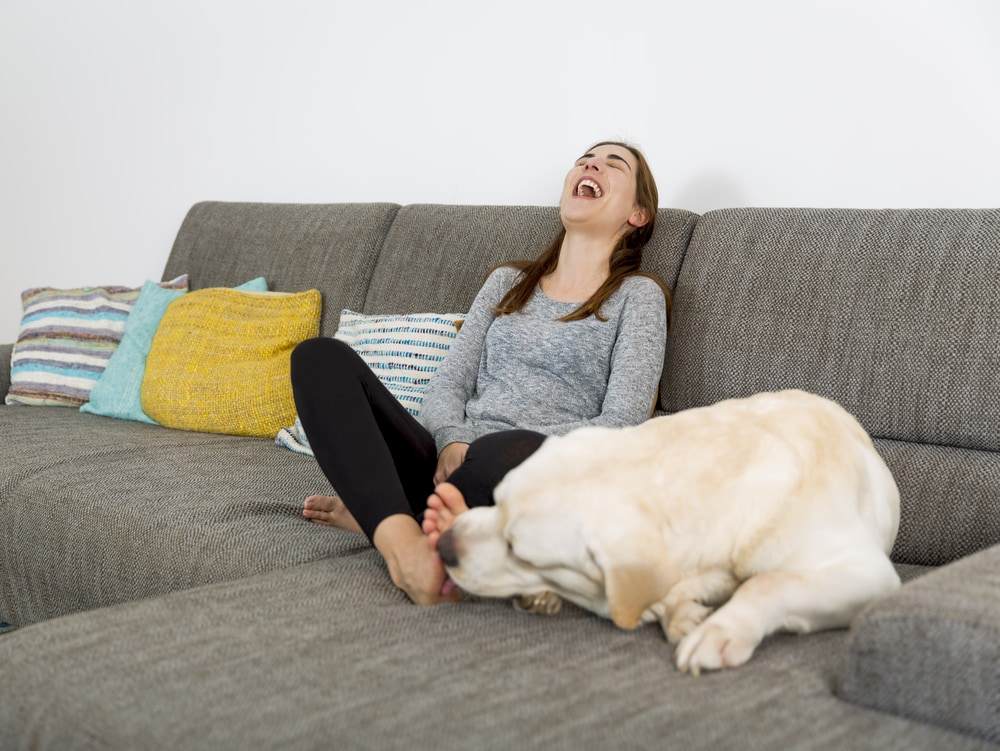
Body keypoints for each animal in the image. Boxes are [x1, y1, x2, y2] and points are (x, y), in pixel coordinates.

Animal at [438, 390, 900, 680]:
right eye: (496, 500)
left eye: (519, 550)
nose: (442, 546)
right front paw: (681, 612)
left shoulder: (868, 572)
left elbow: (768, 584)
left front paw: (719, 630)